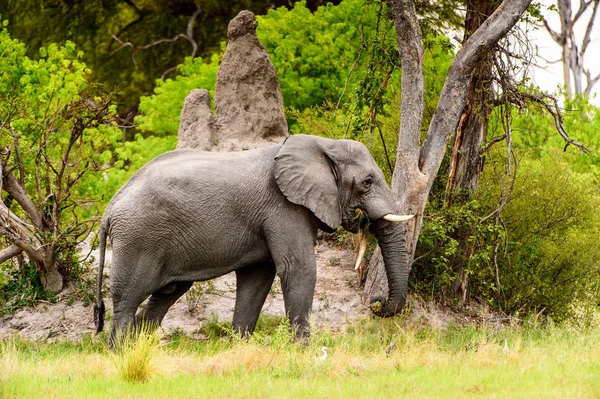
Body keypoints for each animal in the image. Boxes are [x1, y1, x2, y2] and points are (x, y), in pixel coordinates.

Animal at [92, 134, 412, 340]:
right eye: (367, 182)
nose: (376, 302)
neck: (324, 144)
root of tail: (109, 208)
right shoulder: (284, 207)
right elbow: (298, 268)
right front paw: (304, 350)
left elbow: (257, 278)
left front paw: (238, 347)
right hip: (137, 238)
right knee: (127, 301)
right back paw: (121, 354)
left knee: (165, 296)